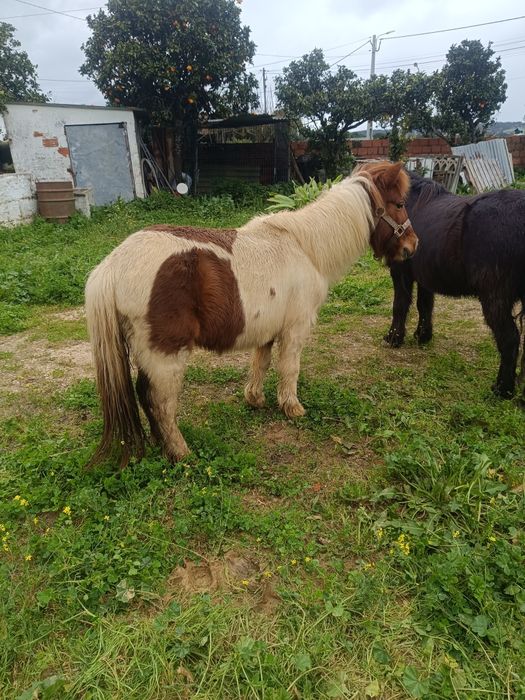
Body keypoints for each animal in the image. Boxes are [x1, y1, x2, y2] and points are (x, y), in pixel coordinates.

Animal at [85, 161, 417, 467]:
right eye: (399, 204)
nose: (412, 246)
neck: (305, 248)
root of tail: (113, 264)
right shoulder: (295, 330)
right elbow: (289, 369)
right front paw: (292, 408)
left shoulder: (266, 332)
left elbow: (260, 364)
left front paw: (255, 399)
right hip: (165, 356)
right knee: (159, 401)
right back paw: (180, 452)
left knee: (145, 396)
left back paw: (161, 445)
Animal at [384, 170, 525, 399]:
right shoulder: (425, 275)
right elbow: (425, 306)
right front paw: (423, 336)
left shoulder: (401, 271)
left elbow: (400, 305)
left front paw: (394, 338)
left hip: (495, 298)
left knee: (510, 339)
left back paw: (502, 390)